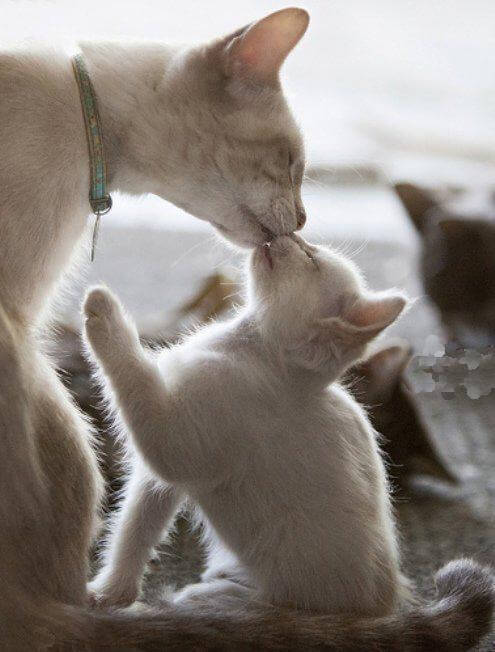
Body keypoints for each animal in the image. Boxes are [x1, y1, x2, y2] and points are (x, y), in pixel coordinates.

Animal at [83, 236, 494, 652]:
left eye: (309, 257)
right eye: (307, 244)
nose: (284, 237)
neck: (244, 348)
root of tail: (384, 608)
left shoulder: (179, 442)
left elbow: (137, 383)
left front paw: (103, 312)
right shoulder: (160, 480)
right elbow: (135, 529)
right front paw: (111, 591)